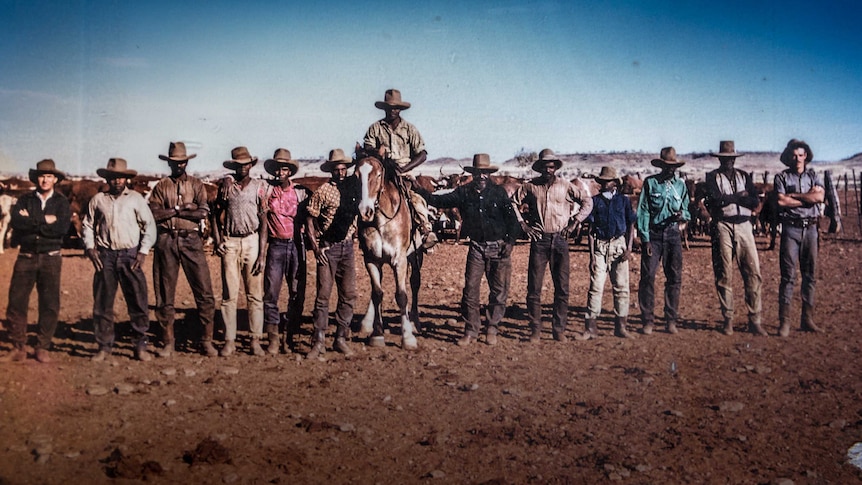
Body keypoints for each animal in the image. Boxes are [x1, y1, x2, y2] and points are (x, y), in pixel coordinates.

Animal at [354, 151, 426, 348]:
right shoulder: (371, 259)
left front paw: (407, 337)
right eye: (356, 175)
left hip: (415, 255)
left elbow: (401, 295)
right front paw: (377, 333)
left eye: (379, 175)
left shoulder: (399, 259)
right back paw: (367, 322)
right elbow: (377, 293)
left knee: (415, 283)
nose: (365, 212)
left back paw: (415, 322)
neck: (381, 221)